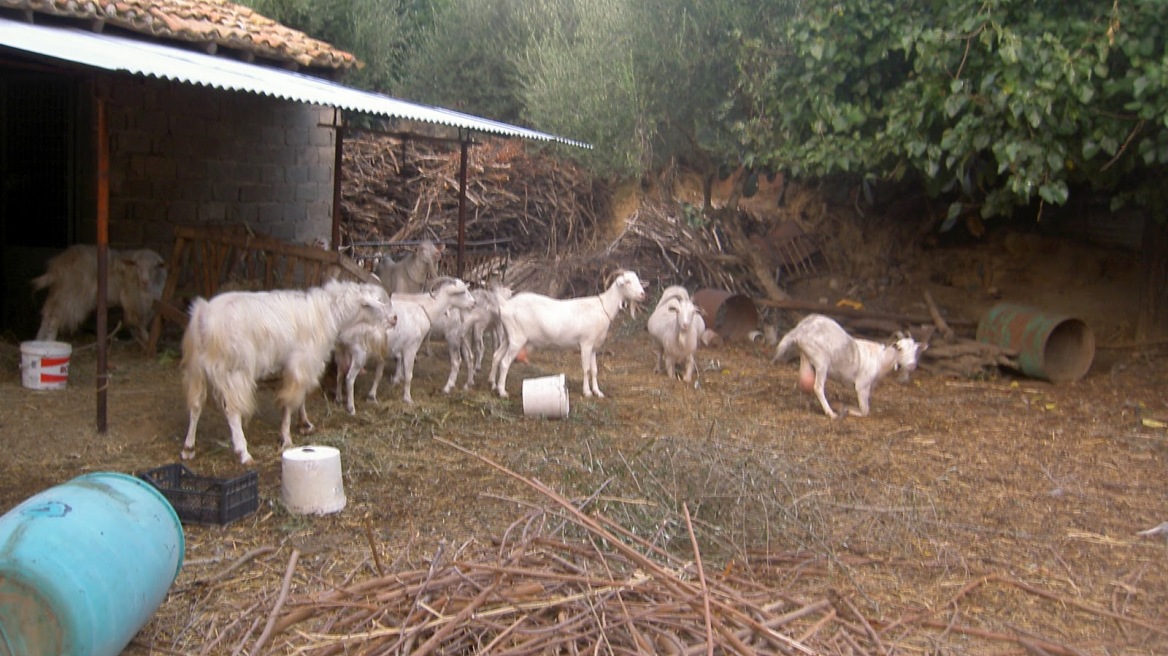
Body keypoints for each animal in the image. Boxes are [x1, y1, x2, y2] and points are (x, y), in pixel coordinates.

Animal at [31, 243, 167, 345]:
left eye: (155, 266)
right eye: (137, 265)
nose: (145, 281)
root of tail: (57, 267)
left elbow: (140, 320)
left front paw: (140, 337)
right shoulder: (132, 298)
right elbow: (138, 319)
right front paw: (145, 338)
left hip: (58, 292)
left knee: (48, 314)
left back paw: (40, 340)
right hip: (72, 295)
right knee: (56, 317)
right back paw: (49, 341)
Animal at [181, 277, 392, 462]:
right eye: (378, 302)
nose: (395, 319)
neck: (327, 313)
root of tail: (203, 314)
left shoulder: (302, 365)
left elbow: (301, 396)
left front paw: (305, 423)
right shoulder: (302, 361)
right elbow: (291, 401)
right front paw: (286, 437)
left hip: (197, 368)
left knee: (196, 404)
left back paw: (188, 448)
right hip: (234, 369)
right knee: (232, 410)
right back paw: (243, 452)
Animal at [485, 267, 649, 399]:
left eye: (638, 281)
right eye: (627, 282)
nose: (642, 294)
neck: (602, 308)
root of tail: (506, 305)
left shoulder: (594, 347)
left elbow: (595, 370)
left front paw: (598, 392)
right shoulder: (586, 343)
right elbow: (586, 368)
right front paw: (587, 392)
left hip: (508, 337)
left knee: (496, 356)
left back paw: (492, 384)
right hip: (517, 339)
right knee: (505, 362)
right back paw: (502, 392)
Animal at [770, 312, 925, 415]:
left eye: (916, 350)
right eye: (900, 348)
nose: (912, 365)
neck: (880, 359)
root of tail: (799, 330)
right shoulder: (862, 385)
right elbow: (865, 411)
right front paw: (846, 408)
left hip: (806, 356)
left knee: (805, 382)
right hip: (821, 360)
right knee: (818, 387)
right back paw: (831, 413)